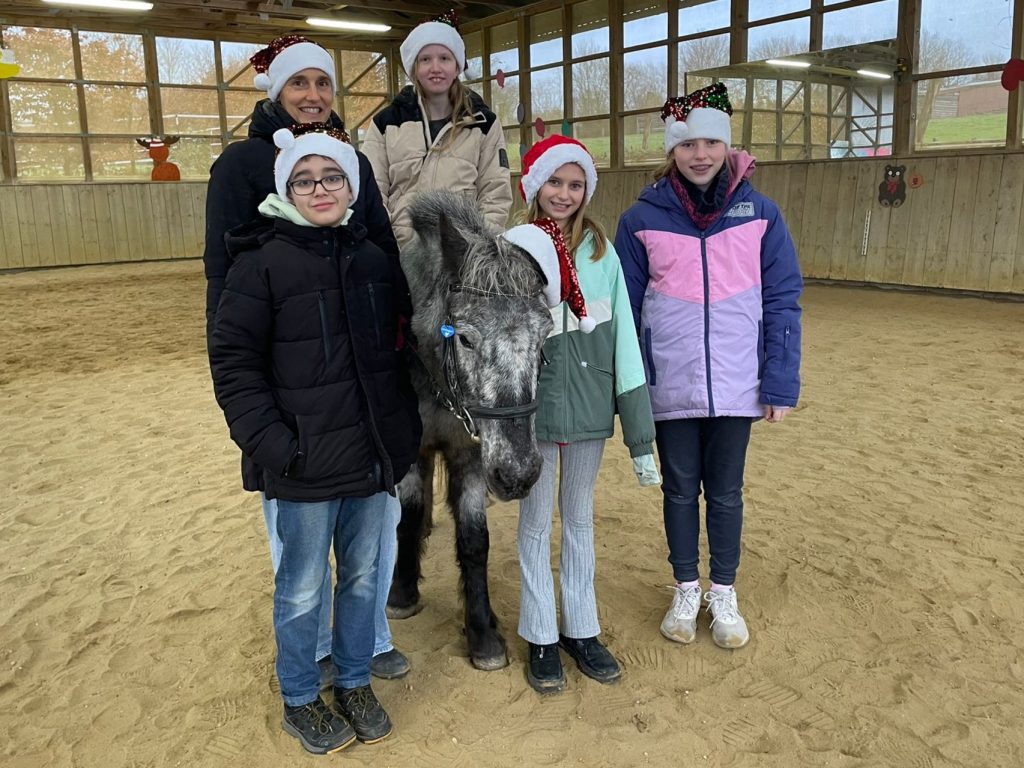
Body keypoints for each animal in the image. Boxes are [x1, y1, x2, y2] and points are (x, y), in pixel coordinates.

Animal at [389, 190, 554, 671]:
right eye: (463, 337)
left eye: (544, 337)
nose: (519, 473)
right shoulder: (412, 448)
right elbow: (407, 518)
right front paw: (403, 593)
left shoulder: (475, 454)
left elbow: (475, 539)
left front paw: (482, 634)